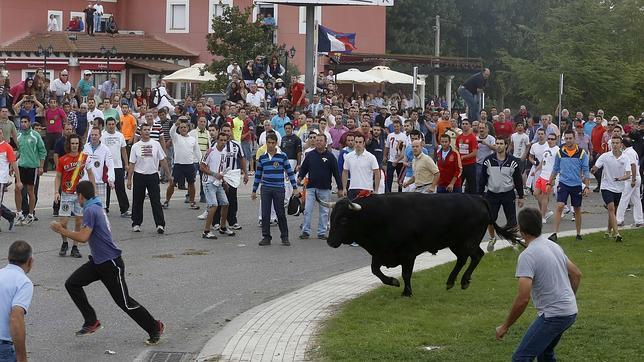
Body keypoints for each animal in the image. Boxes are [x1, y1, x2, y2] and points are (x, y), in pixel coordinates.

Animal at [316, 192, 520, 296]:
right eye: (332, 218)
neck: (378, 217)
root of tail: (478, 198)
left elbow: (406, 273)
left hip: (468, 241)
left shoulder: (408, 253)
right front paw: (392, 281)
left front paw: (406, 291)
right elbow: (375, 271)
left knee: (477, 255)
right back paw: (450, 282)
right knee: (463, 259)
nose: (330, 242)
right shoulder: (380, 253)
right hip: (456, 243)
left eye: (343, 220)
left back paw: (463, 281)